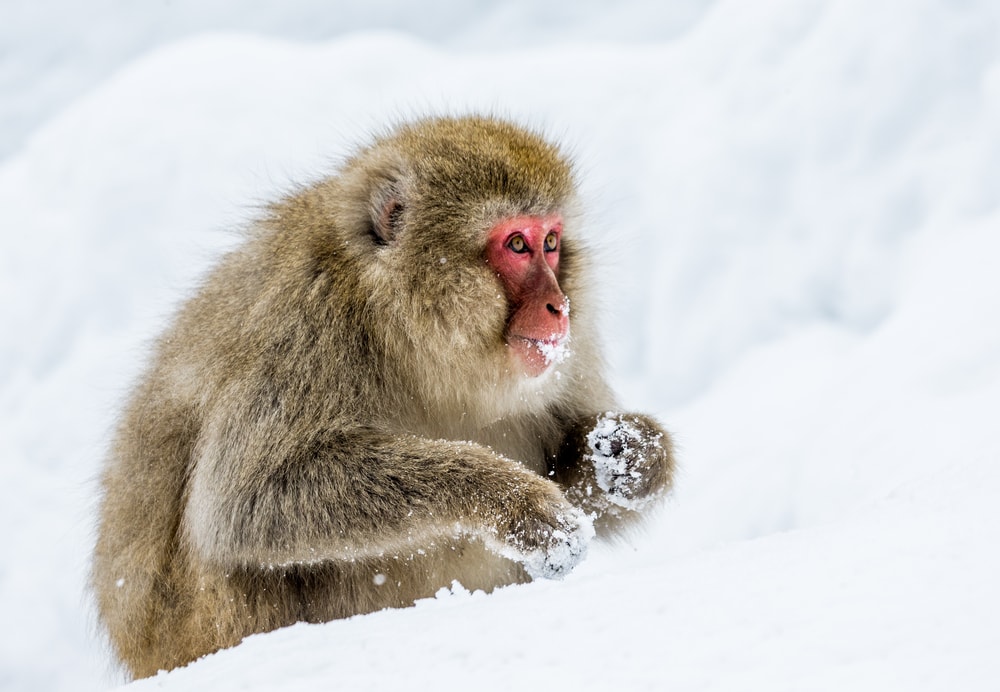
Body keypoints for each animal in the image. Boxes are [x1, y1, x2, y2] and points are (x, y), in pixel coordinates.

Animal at [91, 115, 675, 679]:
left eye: (551, 242)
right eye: (516, 245)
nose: (560, 306)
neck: (402, 328)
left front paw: (631, 455)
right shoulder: (304, 318)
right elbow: (247, 503)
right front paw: (510, 499)